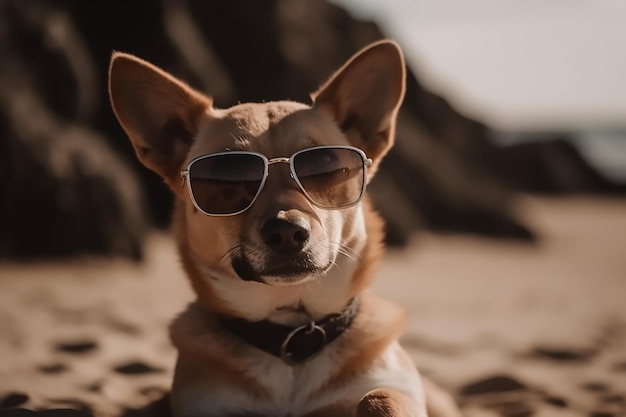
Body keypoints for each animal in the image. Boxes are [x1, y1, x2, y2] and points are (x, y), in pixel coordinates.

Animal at [108, 39, 458, 416]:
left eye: (324, 164)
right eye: (227, 177)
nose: (287, 232)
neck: (292, 338)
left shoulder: (391, 385)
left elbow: (380, 396)